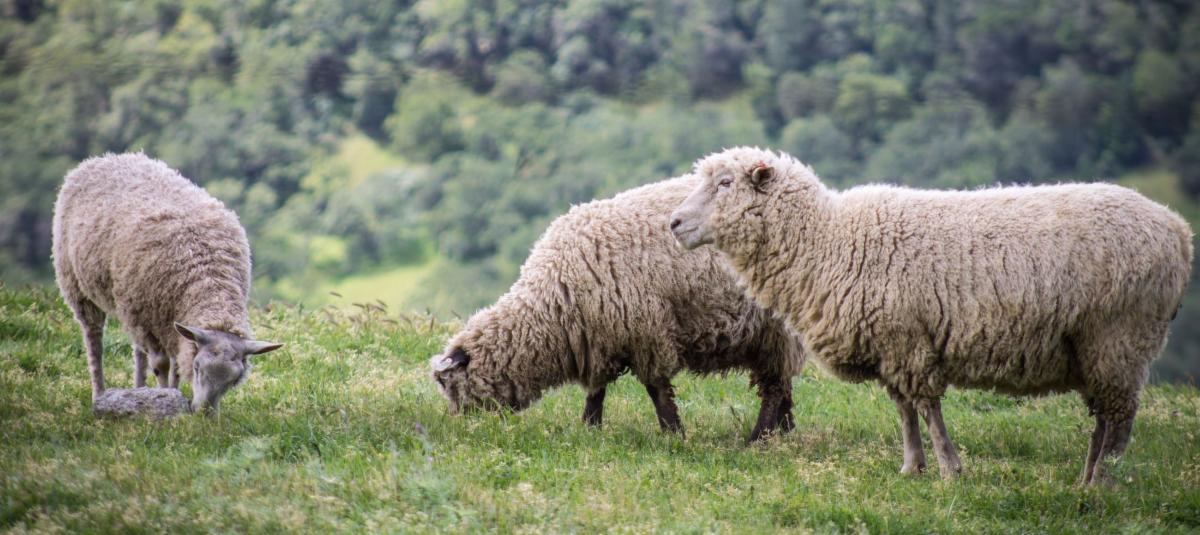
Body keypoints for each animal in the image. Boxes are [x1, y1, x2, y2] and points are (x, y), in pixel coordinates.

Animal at [53, 153, 283, 413]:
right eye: (197, 367)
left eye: (234, 379)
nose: (204, 413)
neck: (207, 278)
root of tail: (108, 158)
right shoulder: (151, 317)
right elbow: (162, 365)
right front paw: (165, 396)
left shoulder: (170, 321)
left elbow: (175, 365)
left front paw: (173, 394)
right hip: (80, 287)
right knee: (94, 341)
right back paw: (99, 393)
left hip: (134, 308)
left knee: (138, 351)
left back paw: (138, 390)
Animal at [431, 174, 806, 442]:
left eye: (450, 386)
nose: (460, 425)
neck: (552, 304)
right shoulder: (596, 339)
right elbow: (596, 391)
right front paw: (589, 429)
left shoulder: (645, 334)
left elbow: (657, 391)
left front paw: (673, 435)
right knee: (781, 385)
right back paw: (784, 432)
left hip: (774, 330)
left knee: (774, 387)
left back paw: (758, 438)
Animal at [669, 147, 1193, 484]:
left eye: (725, 183)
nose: (673, 223)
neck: (829, 241)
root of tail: (1178, 229)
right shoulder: (889, 346)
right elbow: (903, 408)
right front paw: (911, 468)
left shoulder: (908, 340)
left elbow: (926, 407)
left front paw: (947, 469)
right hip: (1100, 346)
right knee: (1106, 417)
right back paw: (1088, 477)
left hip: (1120, 334)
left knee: (1119, 418)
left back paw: (1101, 483)